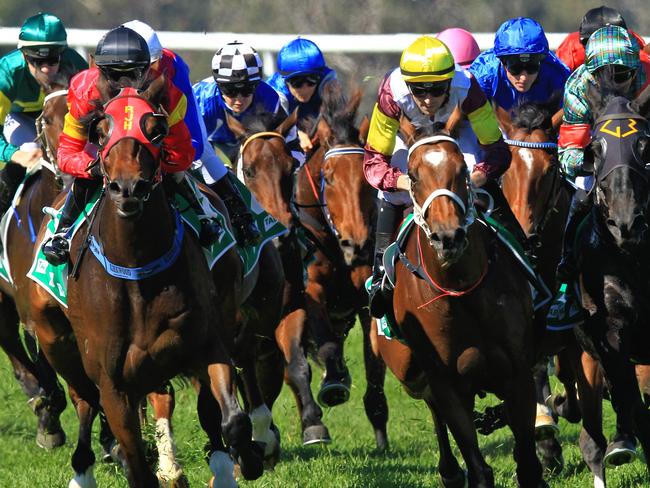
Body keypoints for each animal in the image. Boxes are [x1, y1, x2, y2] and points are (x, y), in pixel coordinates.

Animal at [25, 82, 264, 486]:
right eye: (100, 132)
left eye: (156, 130)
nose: (128, 188)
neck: (136, 270)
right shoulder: (113, 384)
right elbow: (135, 460)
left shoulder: (206, 343)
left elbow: (232, 419)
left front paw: (247, 459)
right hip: (55, 339)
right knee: (84, 400)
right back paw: (83, 468)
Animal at [374, 121, 540, 488]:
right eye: (413, 176)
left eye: (461, 169)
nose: (447, 237)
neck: (461, 290)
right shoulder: (446, 382)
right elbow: (477, 466)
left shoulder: (518, 370)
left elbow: (527, 459)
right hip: (406, 369)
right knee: (432, 407)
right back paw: (449, 471)